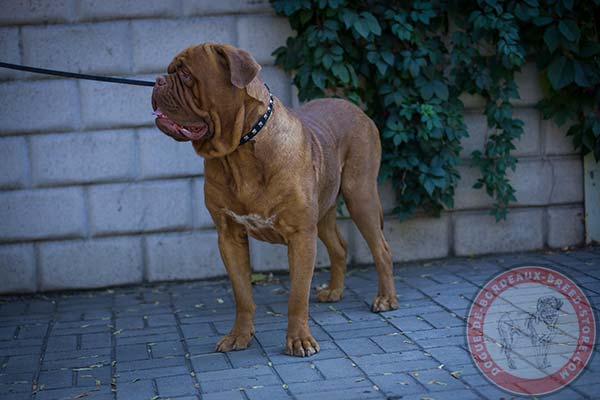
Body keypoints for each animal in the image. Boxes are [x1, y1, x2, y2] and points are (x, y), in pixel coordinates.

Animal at [151, 43, 398, 356]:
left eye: (185, 75)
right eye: (170, 71)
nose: (158, 80)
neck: (239, 152)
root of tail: (356, 109)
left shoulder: (301, 234)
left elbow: (297, 295)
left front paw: (299, 340)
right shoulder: (229, 235)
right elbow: (242, 293)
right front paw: (239, 336)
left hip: (360, 196)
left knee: (382, 249)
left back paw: (386, 299)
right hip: (325, 211)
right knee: (339, 247)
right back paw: (334, 290)